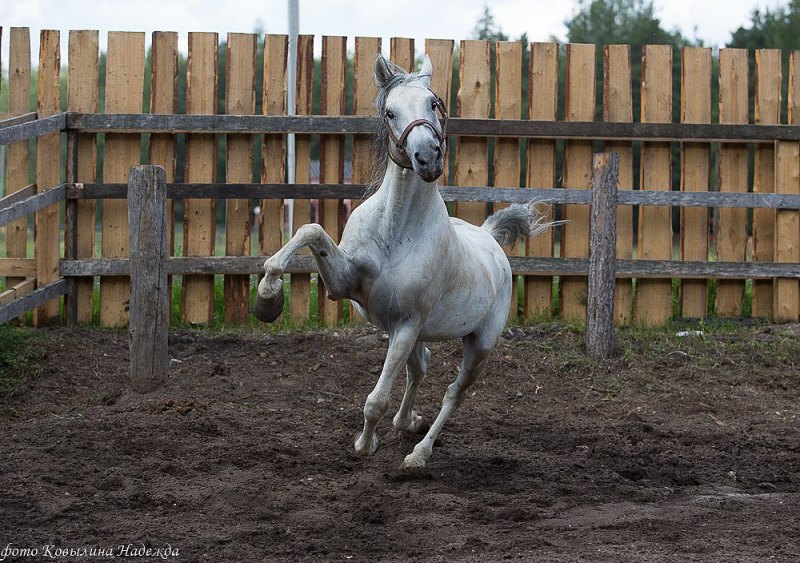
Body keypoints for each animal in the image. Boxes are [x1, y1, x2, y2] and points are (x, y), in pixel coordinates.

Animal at [255, 53, 556, 470]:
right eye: (390, 112)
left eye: (433, 103)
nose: (427, 157)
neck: (396, 230)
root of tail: (490, 237)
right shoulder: (346, 285)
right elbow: (310, 230)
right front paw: (267, 298)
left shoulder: (406, 324)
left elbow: (375, 400)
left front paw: (365, 445)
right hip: (415, 333)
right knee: (422, 366)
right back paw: (407, 421)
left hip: (476, 345)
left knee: (453, 392)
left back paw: (419, 454)